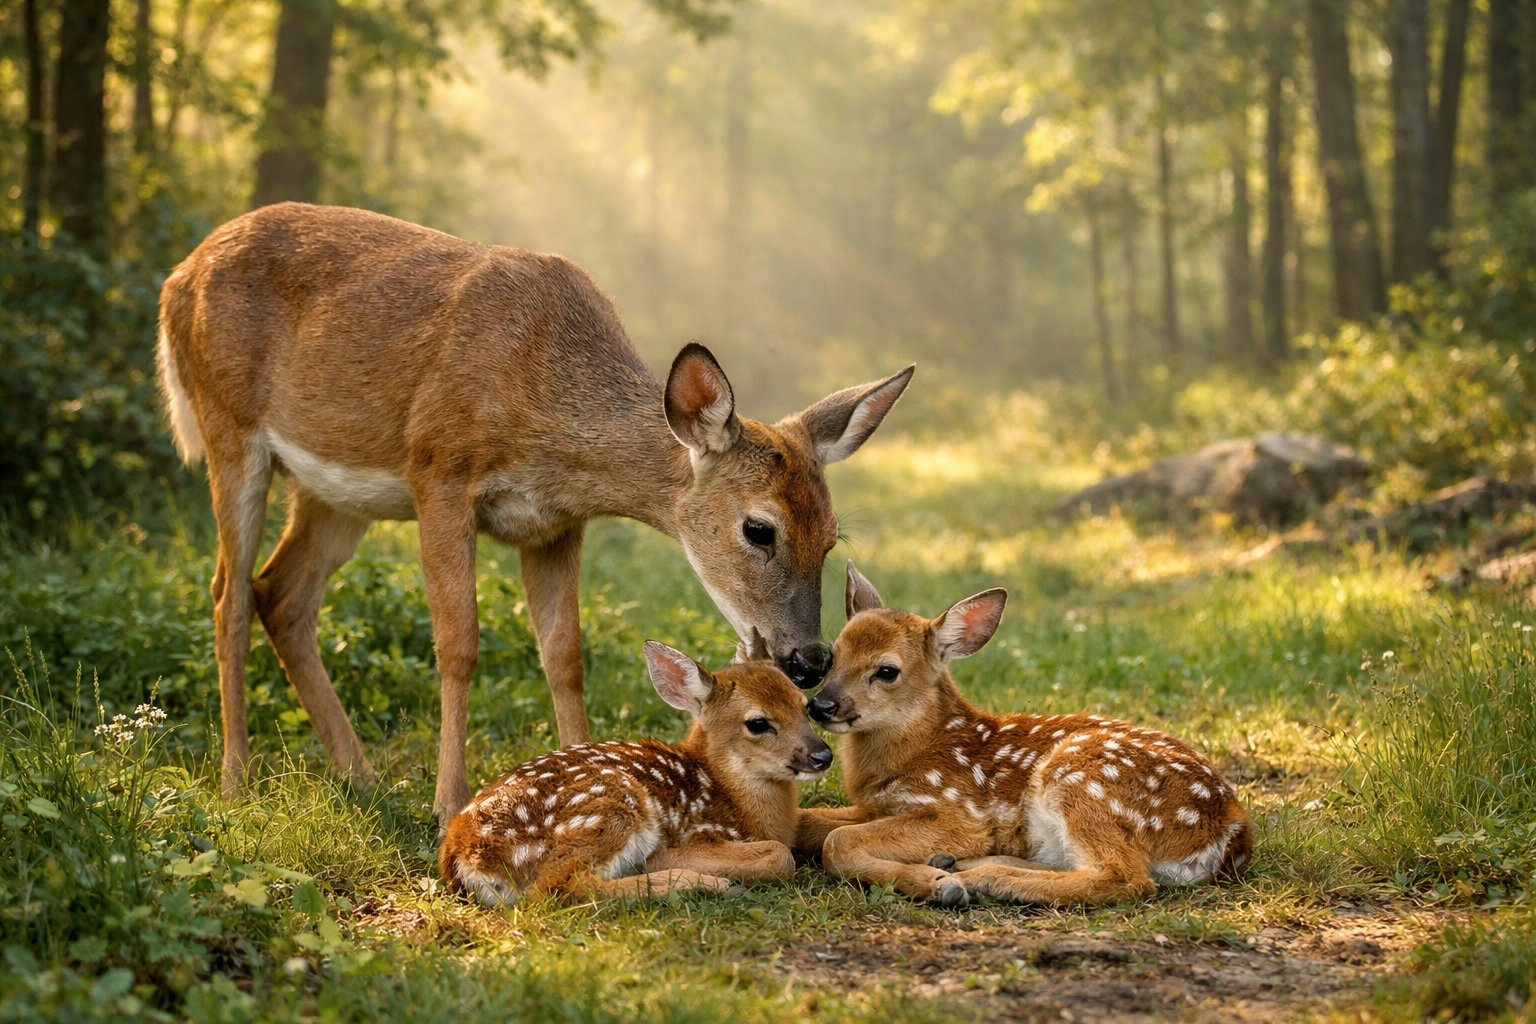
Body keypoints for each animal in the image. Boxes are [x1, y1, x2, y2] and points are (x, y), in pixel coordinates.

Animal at [156, 202, 912, 823]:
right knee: (227, 591)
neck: (545, 405)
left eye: (831, 537)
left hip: (334, 494)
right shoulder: (439, 470)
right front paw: (449, 801)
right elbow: (459, 644)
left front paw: (590, 770)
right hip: (228, 426)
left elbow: (564, 655)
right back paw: (236, 780)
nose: (808, 658)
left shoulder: (555, 524)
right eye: (758, 528)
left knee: (281, 593)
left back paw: (360, 777)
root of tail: (176, 277)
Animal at [439, 642, 832, 902]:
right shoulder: (696, 832)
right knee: (560, 886)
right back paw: (701, 883)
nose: (822, 755)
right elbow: (780, 854)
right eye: (758, 722)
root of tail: (463, 854)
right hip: (610, 804)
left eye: (804, 706)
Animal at [798, 564, 1253, 908]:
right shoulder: (877, 806)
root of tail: (1231, 828)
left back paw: (981, 878)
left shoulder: (956, 812)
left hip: (1083, 777)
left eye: (887, 670)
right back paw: (961, 865)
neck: (917, 751)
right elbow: (810, 821)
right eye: (834, 656)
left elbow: (837, 842)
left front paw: (935, 885)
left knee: (1126, 878)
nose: (821, 705)